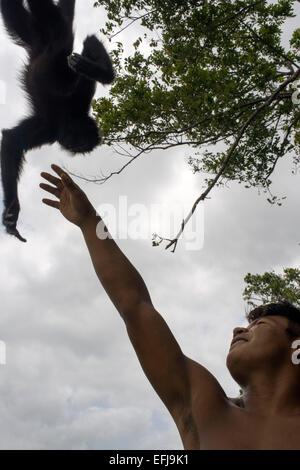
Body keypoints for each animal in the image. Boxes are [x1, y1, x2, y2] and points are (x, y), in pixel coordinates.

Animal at [0, 0, 115, 242]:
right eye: (78, 143)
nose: (71, 146)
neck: (69, 114)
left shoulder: (77, 102)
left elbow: (90, 41)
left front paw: (92, 68)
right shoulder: (50, 128)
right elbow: (12, 140)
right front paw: (12, 212)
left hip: (31, 31)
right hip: (51, 28)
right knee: (57, 25)